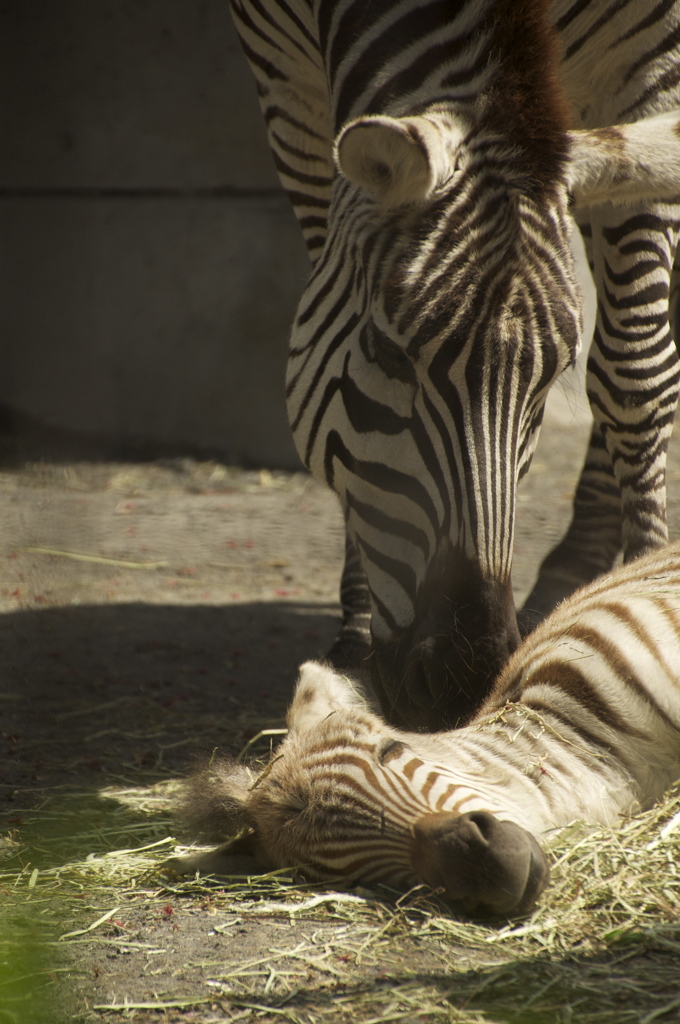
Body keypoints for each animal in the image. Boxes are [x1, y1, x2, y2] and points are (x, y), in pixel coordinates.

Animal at [229, 4, 680, 733]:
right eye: (385, 354)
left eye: (550, 379)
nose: (461, 683)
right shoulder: (284, 77)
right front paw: (351, 638)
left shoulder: (648, 58)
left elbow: (634, 374)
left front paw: (645, 594)